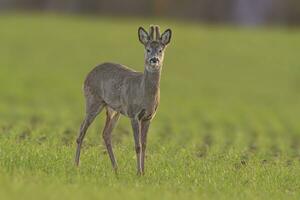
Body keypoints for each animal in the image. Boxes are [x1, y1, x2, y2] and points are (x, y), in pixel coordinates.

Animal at [74, 25, 171, 175]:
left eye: (160, 50)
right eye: (147, 49)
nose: (154, 60)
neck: (143, 93)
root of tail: (87, 75)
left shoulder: (149, 117)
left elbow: (144, 144)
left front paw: (144, 172)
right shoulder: (134, 114)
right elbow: (137, 145)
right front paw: (138, 172)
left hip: (113, 110)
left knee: (106, 134)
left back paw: (116, 168)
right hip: (93, 101)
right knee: (82, 130)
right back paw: (76, 165)